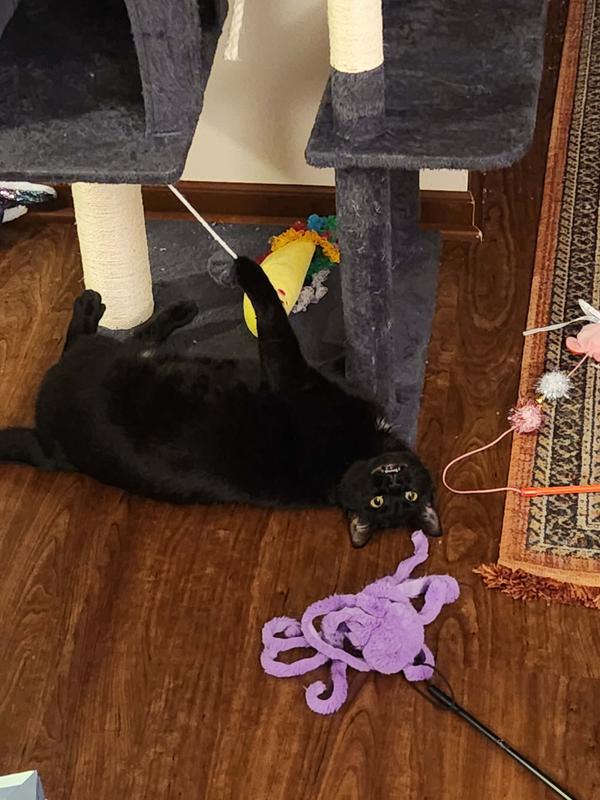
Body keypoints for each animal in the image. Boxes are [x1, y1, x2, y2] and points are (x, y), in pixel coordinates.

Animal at [0, 256, 441, 548]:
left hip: (100, 364)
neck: (350, 459)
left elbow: (273, 317)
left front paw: (246, 268)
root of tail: (50, 448)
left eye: (396, 500)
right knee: (130, 338)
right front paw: (357, 352)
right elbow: (325, 357)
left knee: (82, 342)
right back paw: (173, 309)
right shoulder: (307, 376)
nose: (393, 479)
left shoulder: (290, 373)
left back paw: (94, 305)